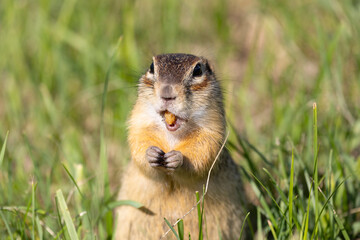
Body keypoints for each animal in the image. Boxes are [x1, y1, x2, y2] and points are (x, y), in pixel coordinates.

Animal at [115, 53, 245, 239]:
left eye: (198, 70)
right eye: (152, 67)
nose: (167, 93)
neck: (173, 135)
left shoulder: (212, 133)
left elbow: (202, 155)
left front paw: (177, 158)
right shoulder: (139, 124)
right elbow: (138, 145)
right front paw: (151, 154)